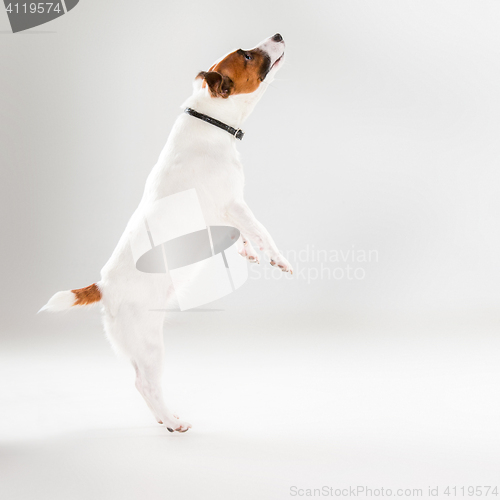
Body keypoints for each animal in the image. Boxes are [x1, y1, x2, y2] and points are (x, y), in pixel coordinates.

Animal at [43, 34, 294, 434]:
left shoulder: (228, 210)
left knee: (139, 383)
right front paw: (275, 257)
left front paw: (249, 252)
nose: (279, 35)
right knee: (145, 383)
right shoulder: (233, 203)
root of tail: (103, 286)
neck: (211, 120)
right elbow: (259, 228)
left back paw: (165, 418)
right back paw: (173, 422)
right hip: (149, 345)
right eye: (247, 55)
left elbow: (244, 233)